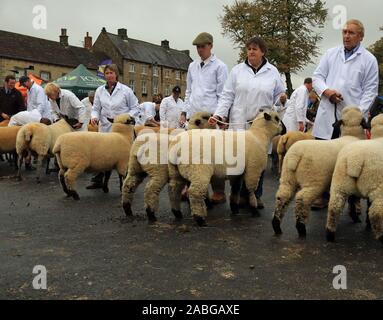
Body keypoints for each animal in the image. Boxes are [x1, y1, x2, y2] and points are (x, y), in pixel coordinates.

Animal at [272, 106, 370, 239]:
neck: (352, 135)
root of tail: (295, 156)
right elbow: (353, 200)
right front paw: (355, 217)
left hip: (288, 177)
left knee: (282, 197)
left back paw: (276, 226)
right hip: (314, 181)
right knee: (302, 199)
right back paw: (301, 228)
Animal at [328, 114, 383, 244]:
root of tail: (355, 160)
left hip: (340, 183)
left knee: (334, 207)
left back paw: (330, 235)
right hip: (376, 185)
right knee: (376, 213)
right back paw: (381, 237)